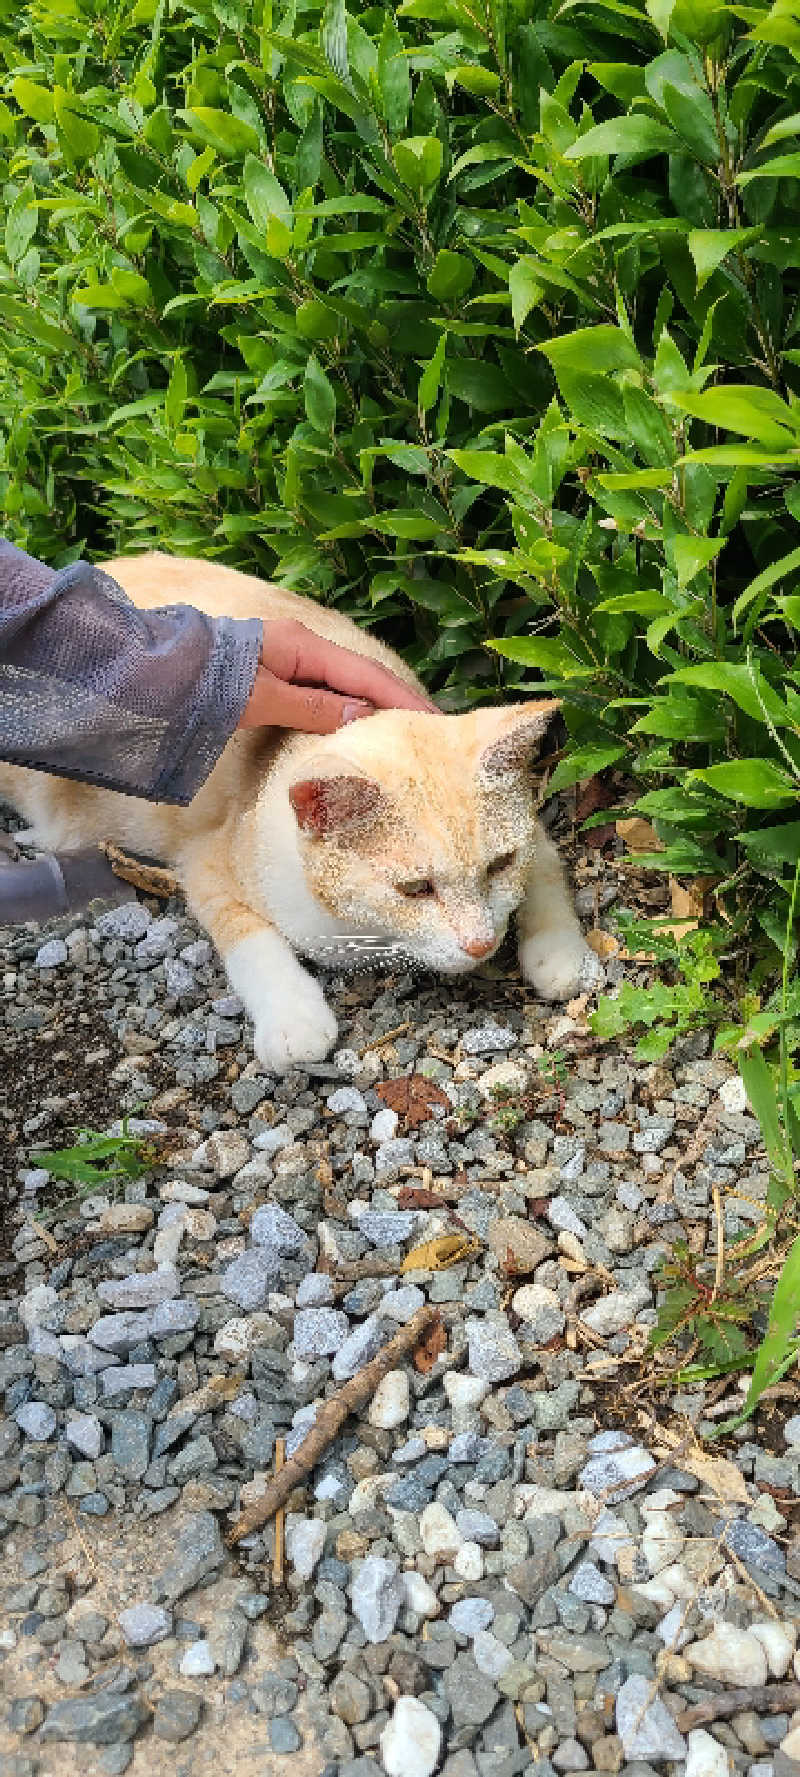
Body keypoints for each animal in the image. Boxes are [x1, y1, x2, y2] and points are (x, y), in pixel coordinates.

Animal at [0, 550, 600, 1066]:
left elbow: (547, 867)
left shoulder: (535, 834)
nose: (481, 942)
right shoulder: (205, 859)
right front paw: (293, 1020)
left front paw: (560, 956)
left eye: (500, 865)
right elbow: (248, 936)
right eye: (415, 889)